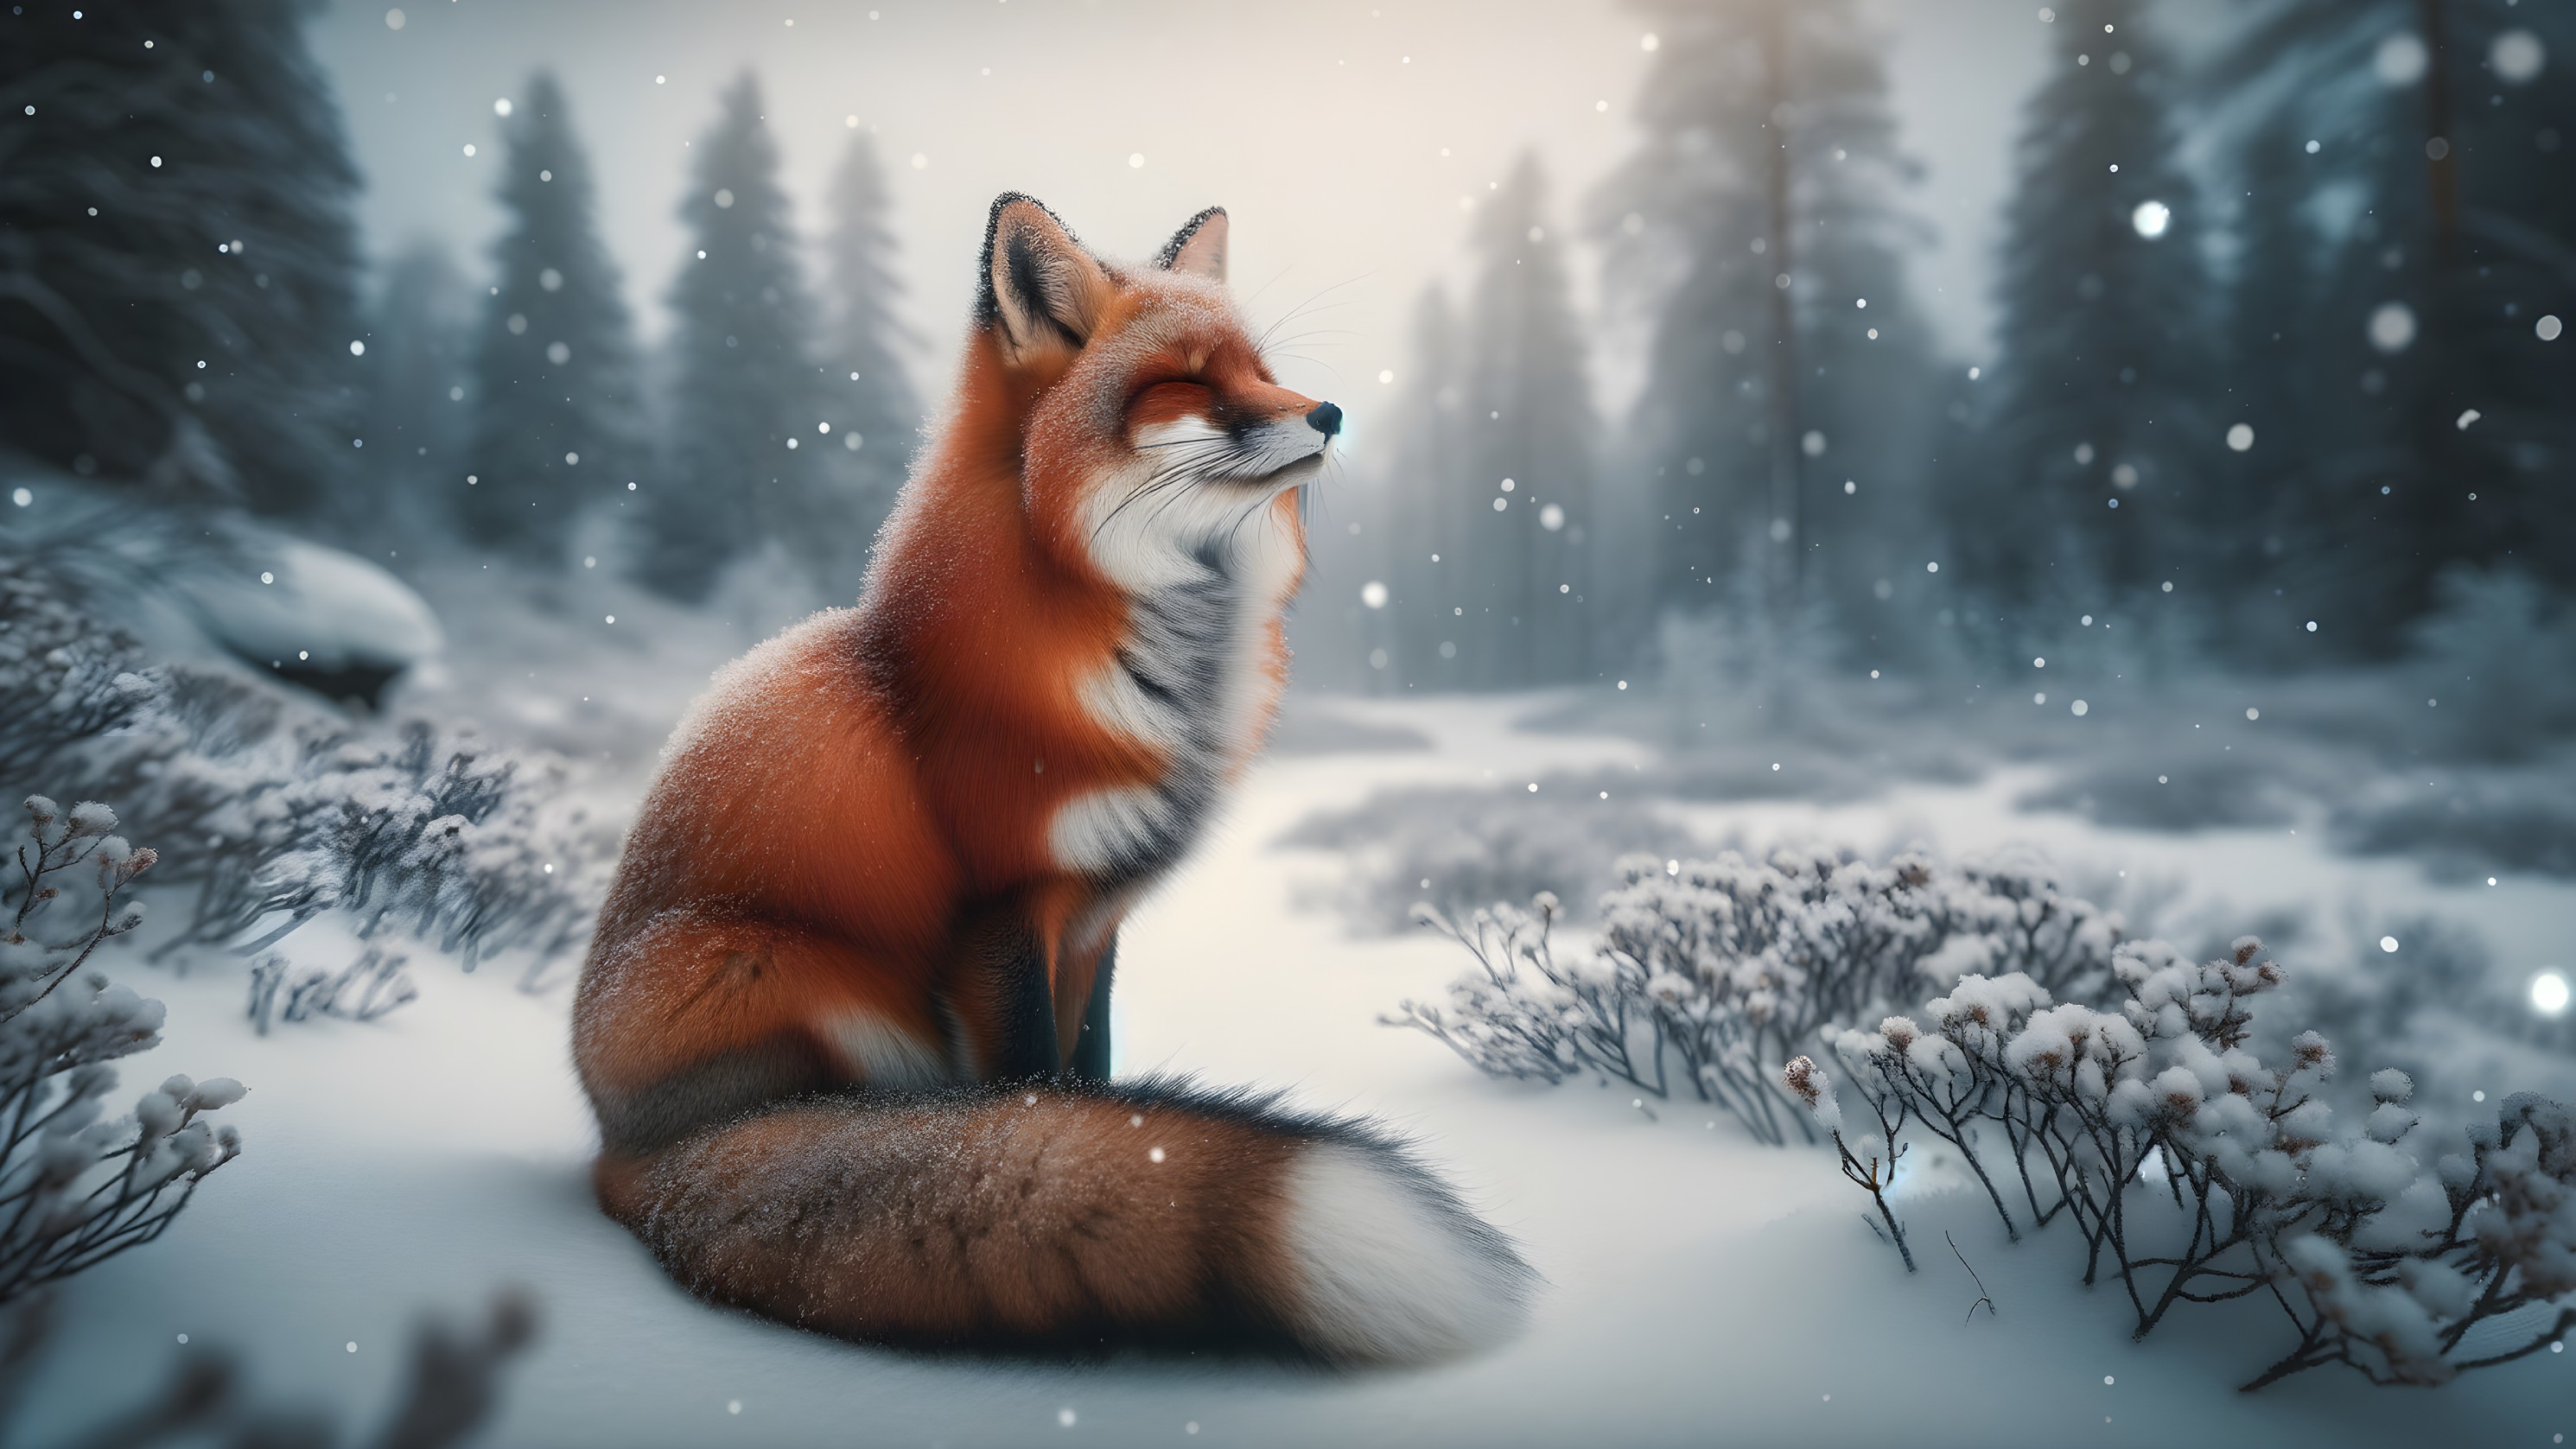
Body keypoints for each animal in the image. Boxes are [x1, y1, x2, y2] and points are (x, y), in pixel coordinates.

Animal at [572, 195, 1535, 1363]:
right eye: (1186, 382)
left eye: (1261, 370)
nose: (1331, 412)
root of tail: (628, 1154)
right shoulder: (1003, 913)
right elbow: (1034, 1090)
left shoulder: (1092, 918)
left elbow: (1092, 1079)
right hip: (789, 976)